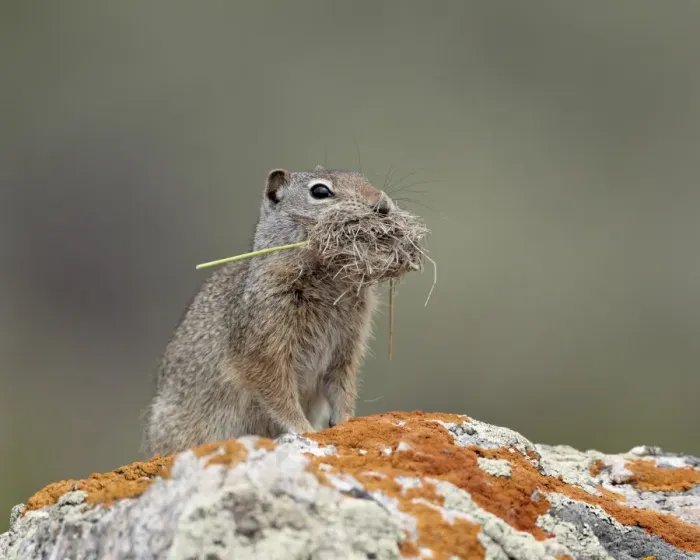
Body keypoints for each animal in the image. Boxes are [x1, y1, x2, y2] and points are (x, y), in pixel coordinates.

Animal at [142, 166, 416, 457]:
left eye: (362, 178)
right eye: (320, 191)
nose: (382, 205)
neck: (327, 278)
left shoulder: (345, 351)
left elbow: (343, 389)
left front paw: (345, 421)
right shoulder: (264, 353)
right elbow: (280, 397)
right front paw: (306, 429)